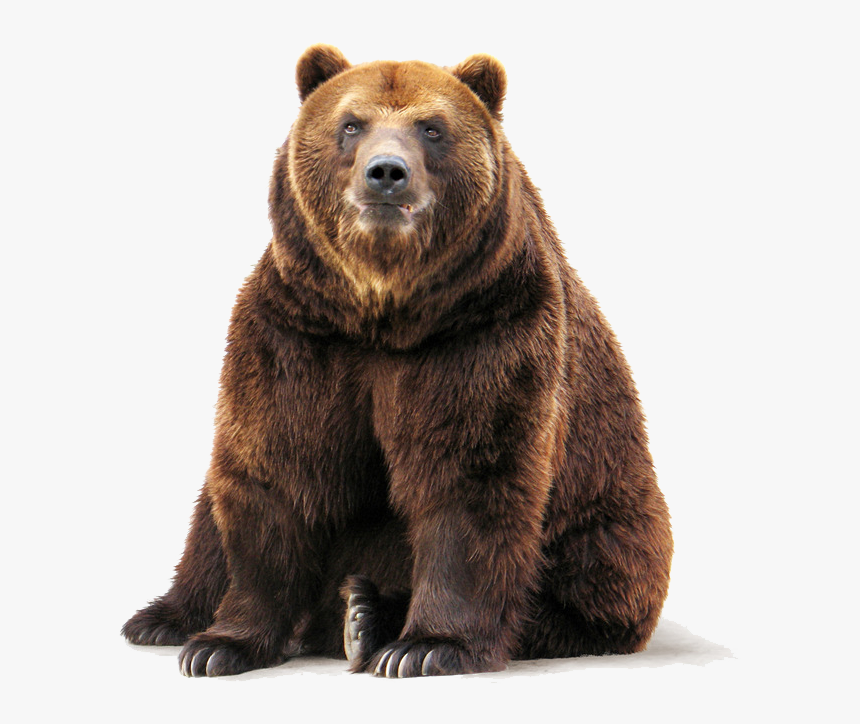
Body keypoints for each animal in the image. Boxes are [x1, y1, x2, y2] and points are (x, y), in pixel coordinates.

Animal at [122, 44, 673, 679]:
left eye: (432, 128)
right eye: (350, 124)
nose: (386, 172)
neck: (383, 311)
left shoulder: (483, 331)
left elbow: (469, 477)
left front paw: (427, 645)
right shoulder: (298, 333)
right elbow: (276, 468)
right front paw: (220, 645)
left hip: (610, 517)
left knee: (585, 580)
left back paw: (366, 615)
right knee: (208, 516)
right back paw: (165, 618)